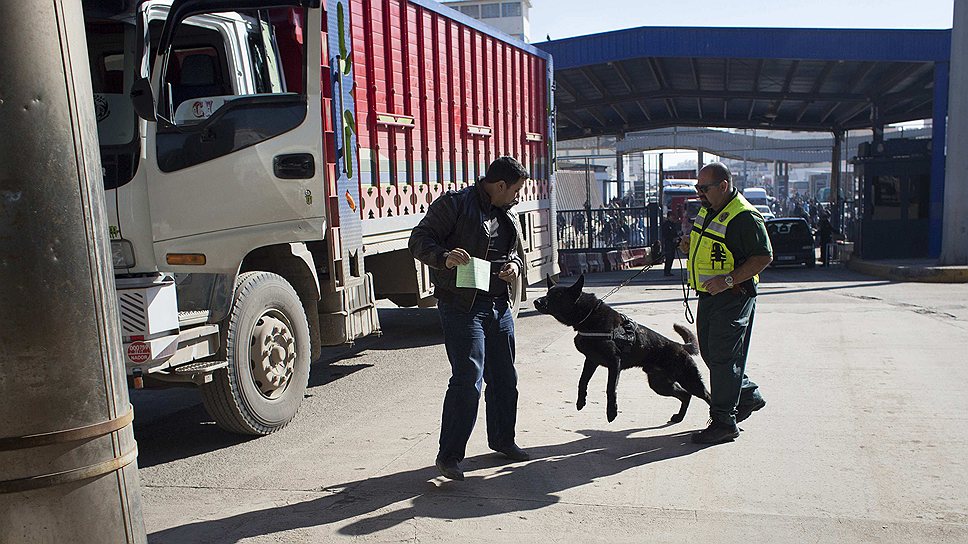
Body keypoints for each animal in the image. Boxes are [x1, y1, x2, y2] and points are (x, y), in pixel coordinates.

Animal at [528, 274, 712, 422]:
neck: (588, 317)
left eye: (558, 295)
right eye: (547, 293)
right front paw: (581, 401)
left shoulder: (614, 363)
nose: (536, 301)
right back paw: (679, 417)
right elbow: (582, 381)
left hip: (688, 379)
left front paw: (611, 412)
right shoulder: (591, 361)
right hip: (660, 385)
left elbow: (610, 389)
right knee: (685, 395)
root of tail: (679, 346)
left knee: (707, 395)